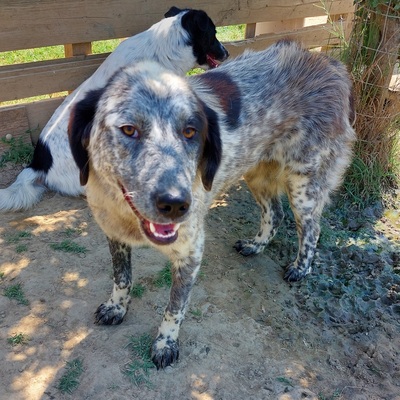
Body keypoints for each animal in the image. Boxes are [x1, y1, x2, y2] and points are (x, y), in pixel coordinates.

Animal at [69, 40, 356, 368]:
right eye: (128, 129)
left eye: (190, 131)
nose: (176, 204)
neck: (128, 218)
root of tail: (331, 64)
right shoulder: (114, 234)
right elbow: (122, 278)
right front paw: (116, 307)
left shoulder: (190, 252)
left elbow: (175, 307)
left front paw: (165, 343)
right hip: (256, 173)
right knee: (275, 213)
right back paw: (256, 245)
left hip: (304, 185)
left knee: (311, 228)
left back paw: (300, 267)